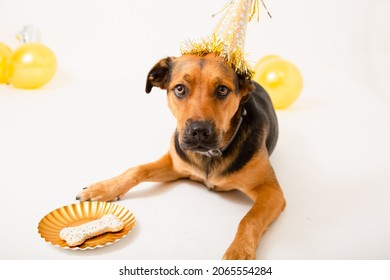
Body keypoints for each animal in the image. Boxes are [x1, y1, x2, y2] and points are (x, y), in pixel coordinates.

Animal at [76, 53, 286, 260]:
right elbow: (137, 169)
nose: (199, 131)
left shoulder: (271, 192)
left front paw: (239, 251)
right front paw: (104, 188)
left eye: (222, 90)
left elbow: (249, 219)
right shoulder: (175, 164)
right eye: (180, 89)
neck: (209, 155)